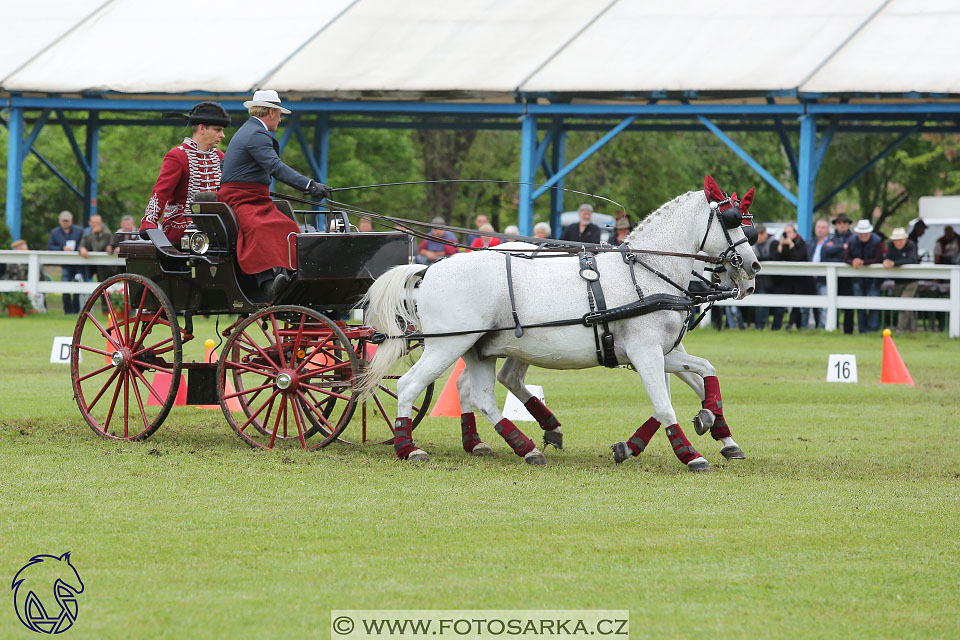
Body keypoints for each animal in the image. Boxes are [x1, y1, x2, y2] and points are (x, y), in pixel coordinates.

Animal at [358, 178, 756, 468]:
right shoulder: (645, 352)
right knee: (411, 385)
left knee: (482, 393)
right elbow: (664, 404)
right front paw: (691, 454)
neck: (647, 271)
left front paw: (716, 428)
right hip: (448, 344)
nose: (752, 268)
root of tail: (429, 269)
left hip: (478, 348)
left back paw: (524, 446)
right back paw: (408, 448)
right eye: (732, 220)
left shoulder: (661, 352)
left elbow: (704, 373)